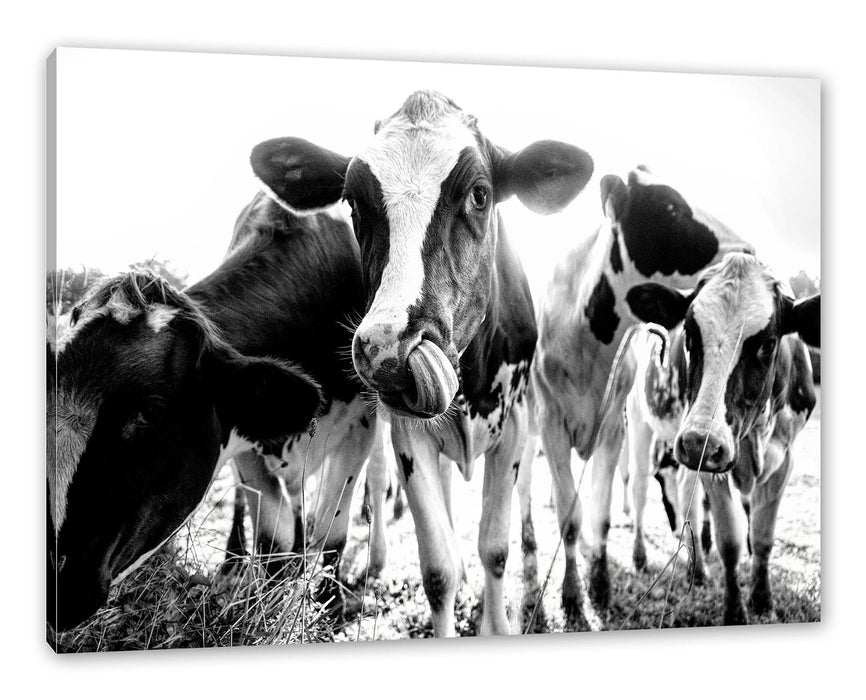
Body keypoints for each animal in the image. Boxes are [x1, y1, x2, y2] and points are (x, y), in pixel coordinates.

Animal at [47, 190, 377, 632]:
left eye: (150, 411)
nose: (56, 579)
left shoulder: (361, 425)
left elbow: (333, 529)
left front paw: (330, 606)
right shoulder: (247, 442)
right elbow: (273, 535)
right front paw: (267, 600)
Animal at [250, 90, 594, 636]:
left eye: (479, 194)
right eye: (353, 202)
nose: (388, 349)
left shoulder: (516, 426)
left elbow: (494, 549)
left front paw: (495, 626)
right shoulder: (407, 435)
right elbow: (438, 568)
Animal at [531, 165, 754, 630]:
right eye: (669, 207)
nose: (747, 250)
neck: (591, 339)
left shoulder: (613, 426)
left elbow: (598, 513)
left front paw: (599, 588)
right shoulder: (551, 425)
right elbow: (569, 517)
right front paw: (572, 597)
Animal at [625, 252, 819, 623]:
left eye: (768, 343)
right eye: (689, 333)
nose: (698, 441)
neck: (754, 436)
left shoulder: (783, 458)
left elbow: (763, 534)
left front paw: (763, 600)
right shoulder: (712, 462)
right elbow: (729, 539)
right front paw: (734, 612)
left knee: (684, 490)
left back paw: (697, 571)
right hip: (642, 423)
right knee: (639, 488)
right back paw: (640, 556)